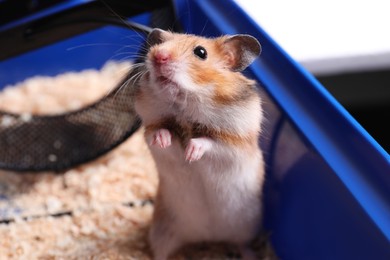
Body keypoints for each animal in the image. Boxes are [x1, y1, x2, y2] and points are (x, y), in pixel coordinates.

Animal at [134, 28, 266, 260]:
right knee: (161, 252)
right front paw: (165, 141)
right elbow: (159, 134)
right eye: (159, 45)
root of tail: (208, 237)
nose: (158, 56)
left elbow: (208, 142)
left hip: (247, 228)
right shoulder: (151, 128)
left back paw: (250, 255)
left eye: (201, 52)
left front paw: (191, 153)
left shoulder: (234, 142)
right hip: (162, 231)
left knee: (243, 245)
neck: (185, 107)